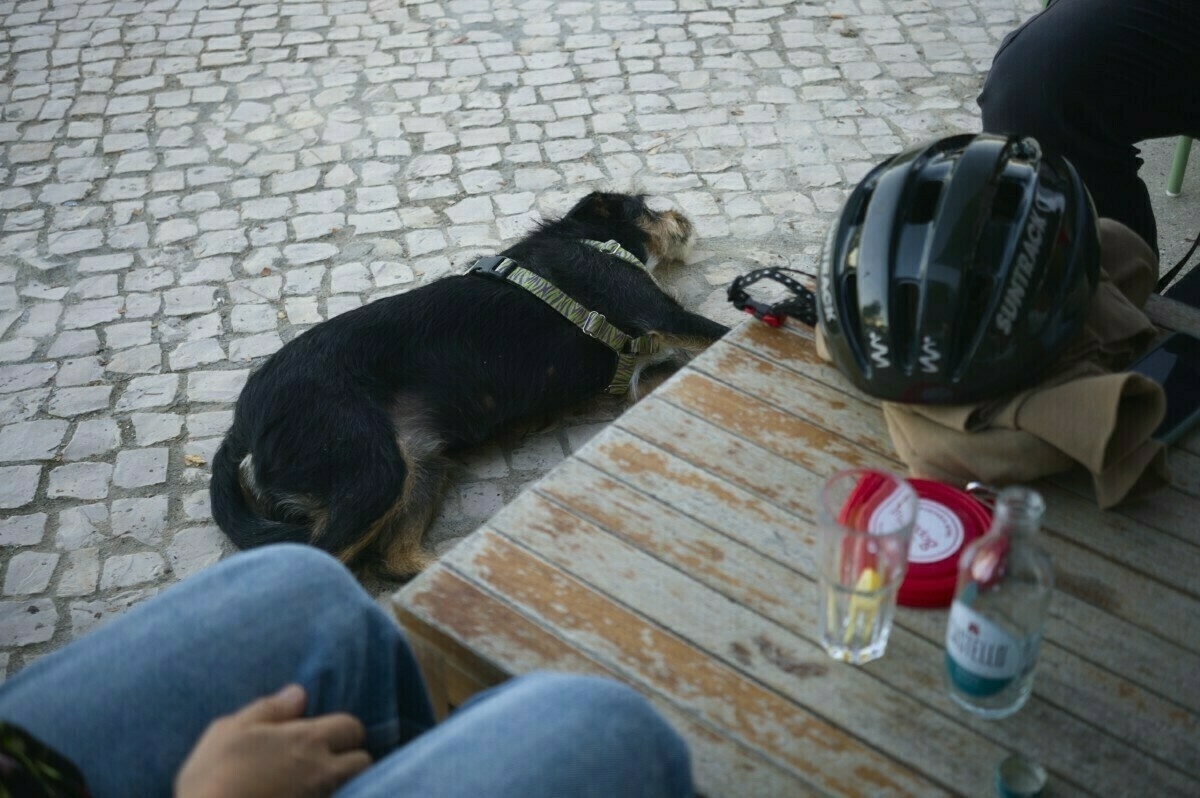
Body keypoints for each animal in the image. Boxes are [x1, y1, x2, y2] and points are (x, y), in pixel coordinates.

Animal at [210, 193, 724, 578]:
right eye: (646, 206)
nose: (681, 213)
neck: (587, 239)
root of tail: (241, 426)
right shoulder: (663, 316)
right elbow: (718, 331)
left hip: (420, 465)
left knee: (394, 558)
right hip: (374, 472)